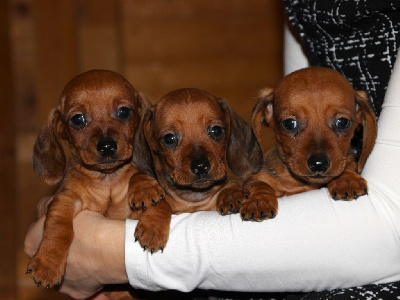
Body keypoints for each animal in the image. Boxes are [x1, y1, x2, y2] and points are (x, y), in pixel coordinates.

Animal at [26, 68, 164, 290]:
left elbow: (141, 178)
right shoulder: (65, 199)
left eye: (124, 112)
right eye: (78, 119)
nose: (107, 147)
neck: (107, 181)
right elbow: (58, 228)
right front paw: (48, 262)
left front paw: (145, 192)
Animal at [132, 87, 262, 239]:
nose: (200, 166)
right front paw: (153, 227)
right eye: (169, 138)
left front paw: (231, 194)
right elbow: (163, 203)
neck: (194, 200)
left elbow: (230, 185)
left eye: (216, 130)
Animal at [241, 68, 378, 223]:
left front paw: (347, 179)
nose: (318, 164)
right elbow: (259, 184)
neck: (301, 183)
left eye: (342, 122)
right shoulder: (255, 179)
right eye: (289, 124)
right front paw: (259, 201)